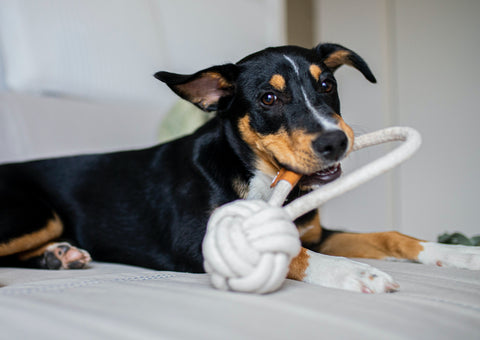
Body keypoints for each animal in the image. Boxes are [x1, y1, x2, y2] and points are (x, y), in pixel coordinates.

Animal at [0, 42, 480, 292]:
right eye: (269, 98)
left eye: (327, 85)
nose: (336, 141)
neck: (260, 176)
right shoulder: (198, 242)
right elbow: (293, 254)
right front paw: (355, 272)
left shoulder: (318, 232)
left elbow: (390, 236)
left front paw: (459, 254)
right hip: (36, 213)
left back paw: (59, 257)